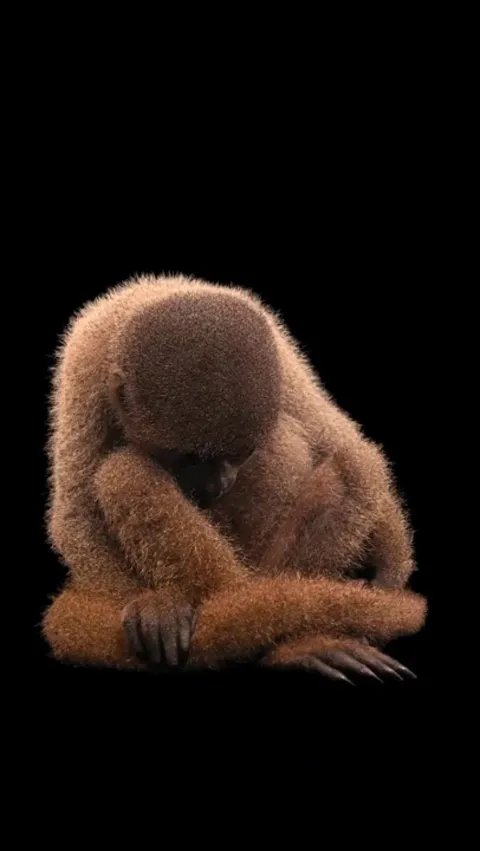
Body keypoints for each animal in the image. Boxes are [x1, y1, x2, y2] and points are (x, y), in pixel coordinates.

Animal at [42, 273, 427, 683]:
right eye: (190, 458)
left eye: (241, 454)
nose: (218, 485)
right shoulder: (84, 366)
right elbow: (77, 512)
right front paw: (153, 604)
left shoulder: (283, 357)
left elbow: (342, 441)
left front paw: (390, 563)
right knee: (124, 474)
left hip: (267, 558)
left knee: (348, 465)